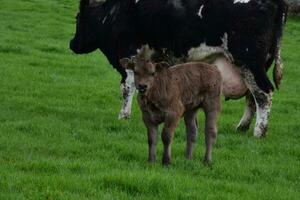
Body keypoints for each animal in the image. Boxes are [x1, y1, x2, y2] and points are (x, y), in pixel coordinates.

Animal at [70, 0, 288, 138]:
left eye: (78, 18)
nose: (72, 44)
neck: (114, 13)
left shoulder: (130, 54)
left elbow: (128, 87)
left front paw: (124, 116)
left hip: (249, 61)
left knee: (263, 93)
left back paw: (259, 131)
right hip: (258, 64)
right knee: (252, 96)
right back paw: (243, 127)